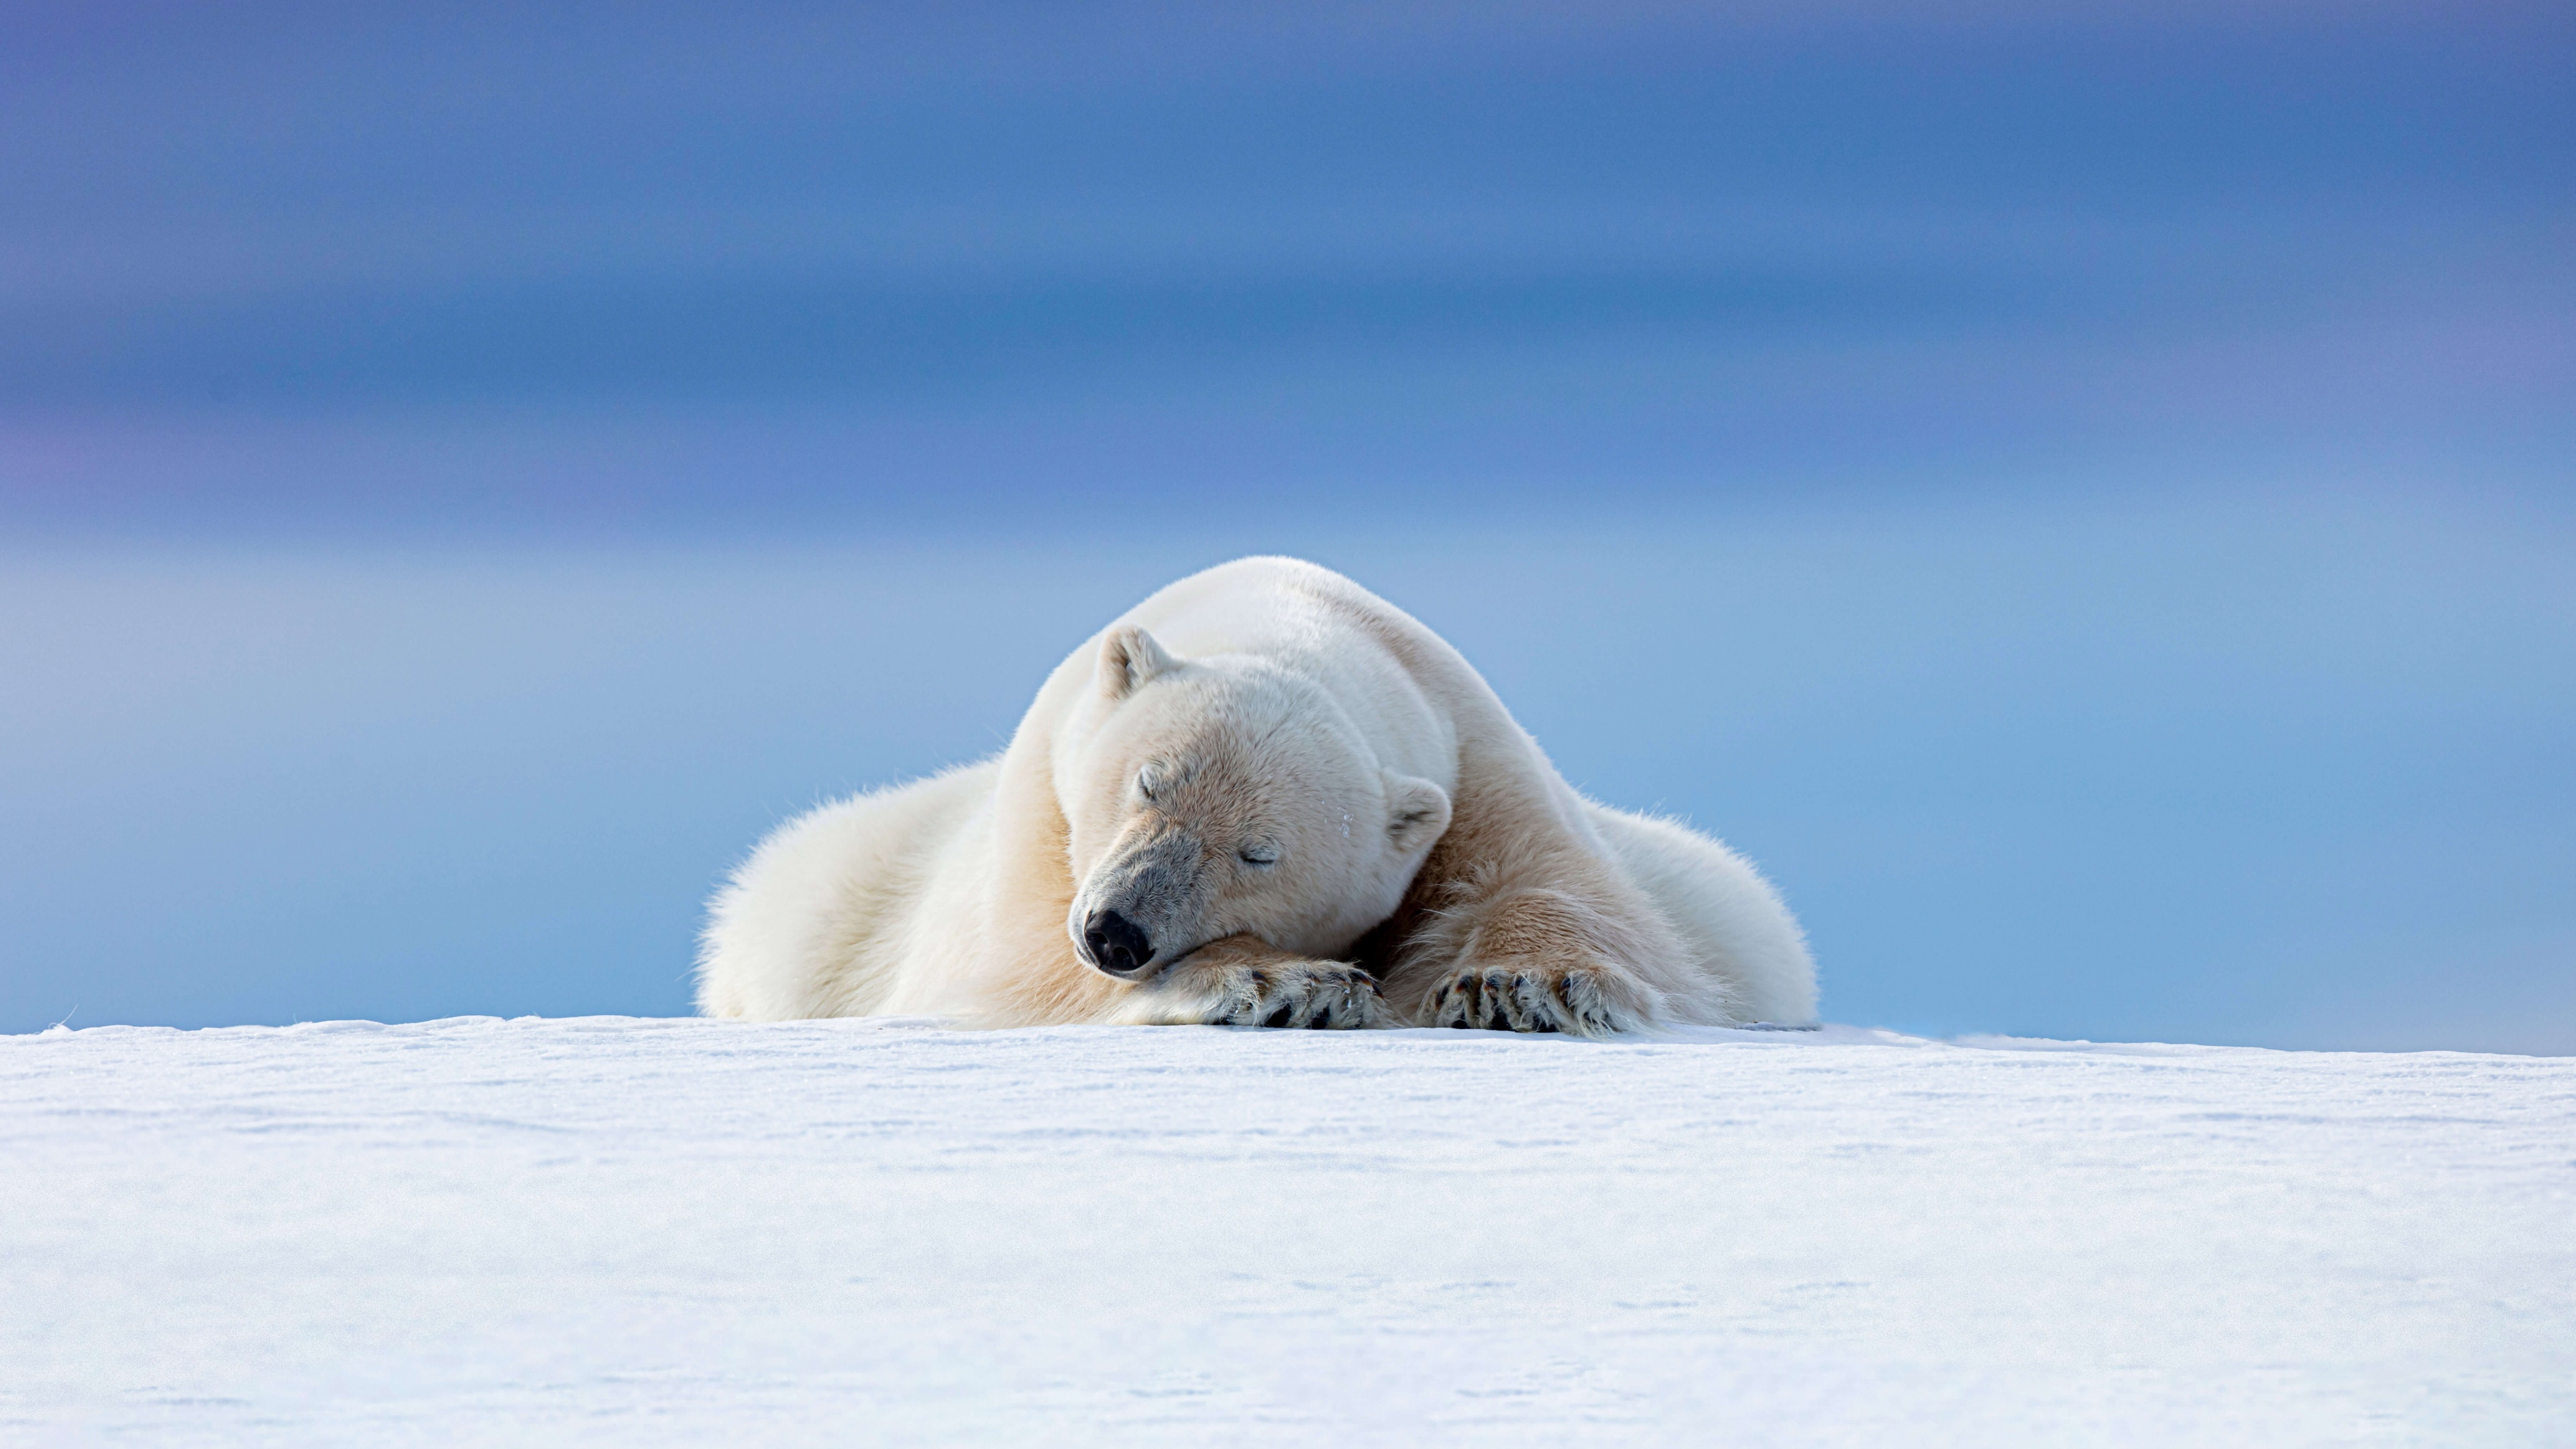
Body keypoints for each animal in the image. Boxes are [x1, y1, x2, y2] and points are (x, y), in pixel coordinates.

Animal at [697, 557, 1816, 1034]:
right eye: (1147, 783)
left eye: (1259, 852)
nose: (1117, 933)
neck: (1290, 618)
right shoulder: (1042, 814)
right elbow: (1018, 966)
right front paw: (1286, 982)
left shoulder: (1476, 760)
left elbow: (1574, 891)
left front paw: (1511, 984)